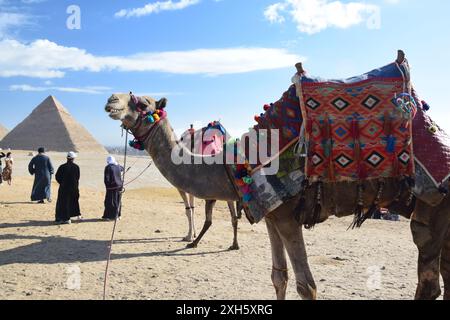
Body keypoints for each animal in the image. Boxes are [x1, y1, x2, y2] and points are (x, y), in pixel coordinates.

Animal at [103, 51, 450, 298]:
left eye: (142, 102)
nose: (110, 100)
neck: (234, 166)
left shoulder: (287, 216)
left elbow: (306, 285)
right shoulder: (271, 215)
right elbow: (278, 277)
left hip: (432, 206)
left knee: (429, 279)